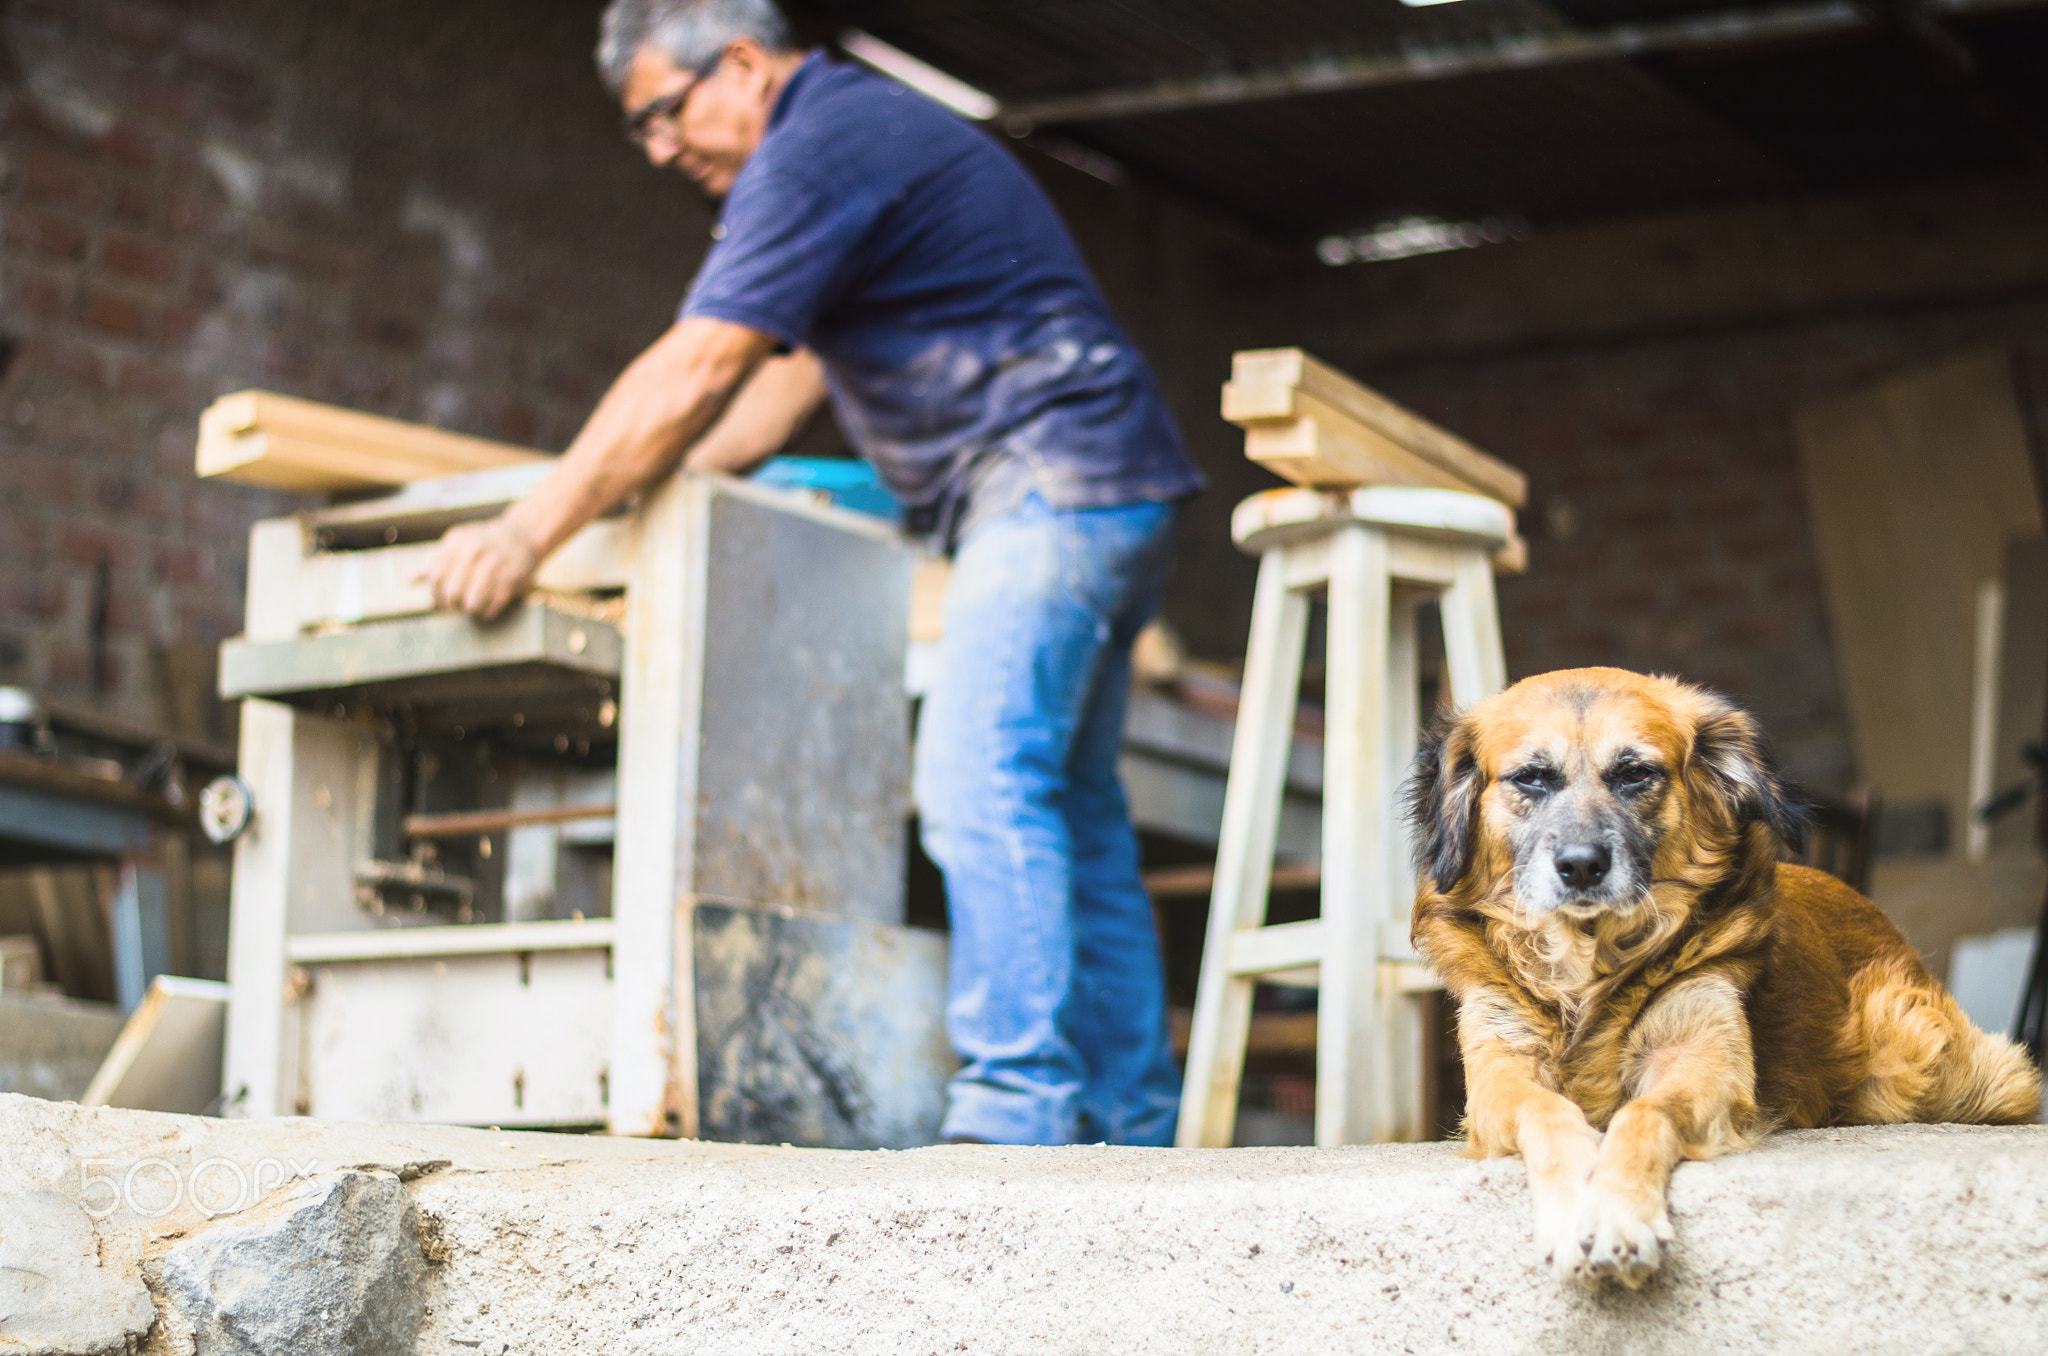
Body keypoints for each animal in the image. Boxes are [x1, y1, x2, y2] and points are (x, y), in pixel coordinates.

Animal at [1409, 675, 2031, 1294]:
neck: (1589, 962)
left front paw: (1616, 1216)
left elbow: (1644, 1114)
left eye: (1636, 774)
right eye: (1531, 778)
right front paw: (1571, 1215)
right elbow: (1545, 1111)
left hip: (1930, 1071)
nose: (1582, 865)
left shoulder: (1698, 1058)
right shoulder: (1500, 1073)